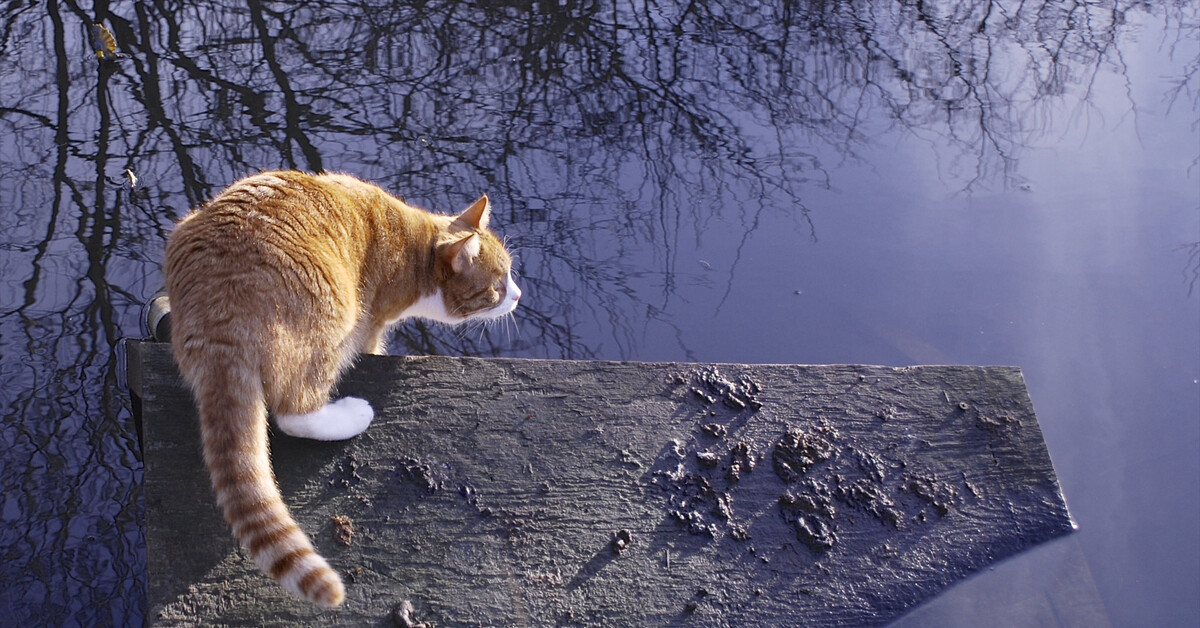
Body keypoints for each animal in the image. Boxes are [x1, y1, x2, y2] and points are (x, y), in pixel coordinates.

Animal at [162, 169, 518, 607]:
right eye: (497, 287)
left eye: (511, 275)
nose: (519, 295)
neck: (417, 249)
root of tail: (220, 323)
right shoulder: (371, 324)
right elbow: (372, 348)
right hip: (334, 314)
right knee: (294, 412)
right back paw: (350, 415)